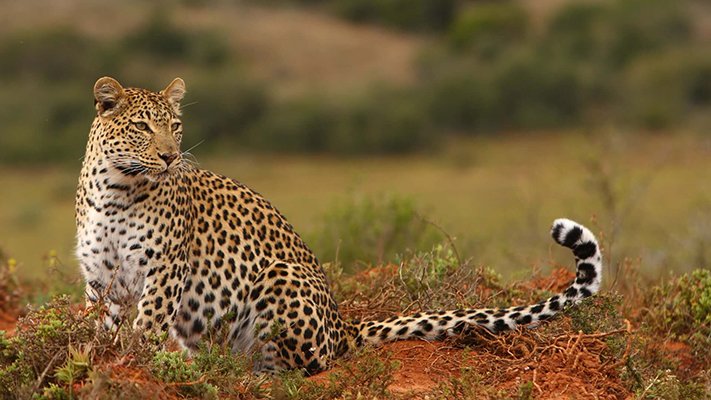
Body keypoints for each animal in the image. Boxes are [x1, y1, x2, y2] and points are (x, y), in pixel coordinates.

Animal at [75, 77, 604, 376]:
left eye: (176, 127)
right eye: (143, 127)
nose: (170, 156)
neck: (117, 189)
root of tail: (341, 322)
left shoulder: (163, 269)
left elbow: (145, 326)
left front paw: (136, 363)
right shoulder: (99, 277)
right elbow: (101, 326)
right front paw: (97, 356)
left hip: (281, 278)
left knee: (305, 364)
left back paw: (244, 370)